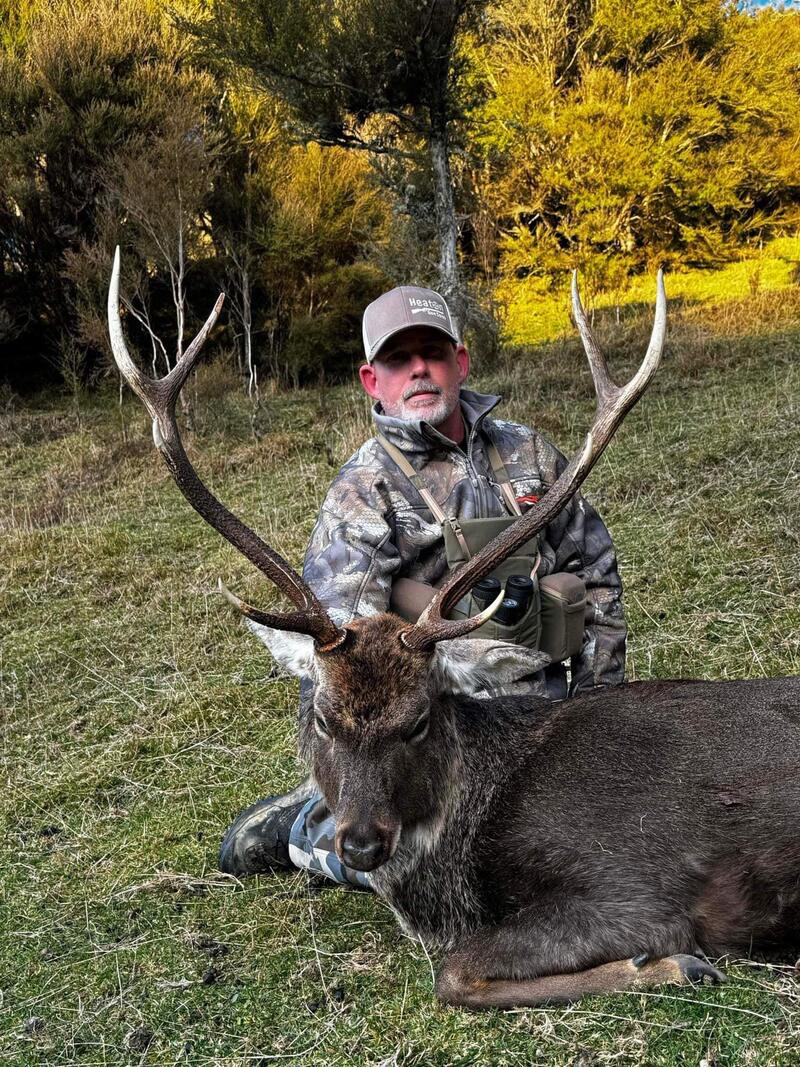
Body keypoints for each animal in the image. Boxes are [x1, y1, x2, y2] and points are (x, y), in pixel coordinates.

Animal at [108, 247, 800, 1008]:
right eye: (322, 718)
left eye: (418, 719)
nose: (360, 845)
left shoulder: (635, 888)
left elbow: (456, 972)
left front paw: (674, 964)